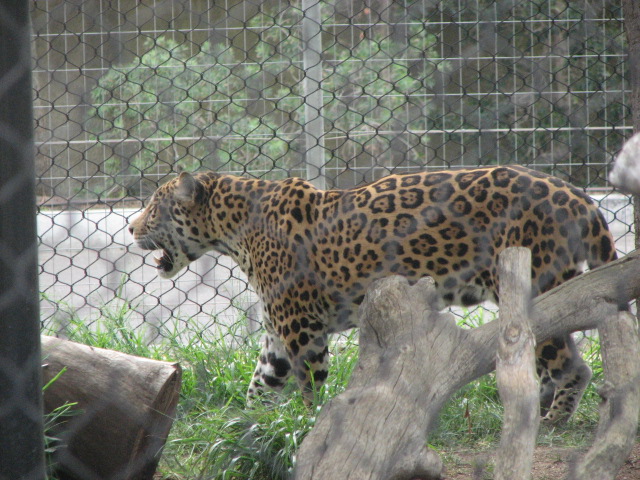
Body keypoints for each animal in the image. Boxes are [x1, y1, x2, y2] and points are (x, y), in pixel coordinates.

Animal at [129, 165, 618, 423]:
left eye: (154, 206)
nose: (131, 227)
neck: (233, 232)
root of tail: (579, 196)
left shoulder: (302, 329)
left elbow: (309, 386)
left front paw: (306, 426)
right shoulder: (277, 337)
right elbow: (261, 386)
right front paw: (245, 429)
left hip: (535, 283)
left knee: (571, 364)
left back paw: (551, 422)